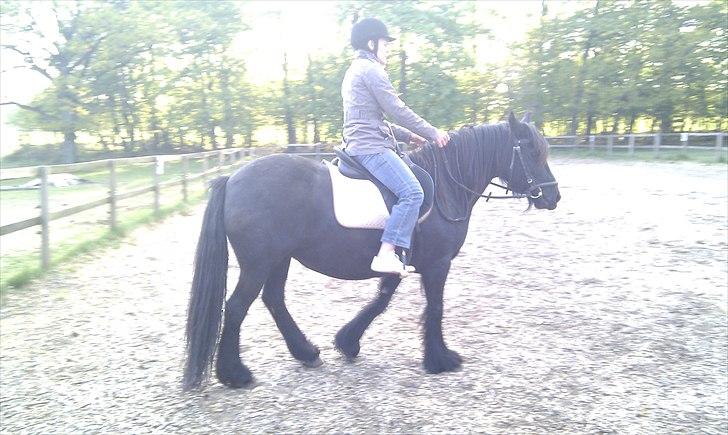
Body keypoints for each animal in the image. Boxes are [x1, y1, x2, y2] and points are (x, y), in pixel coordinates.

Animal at [182, 111, 560, 390]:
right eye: (531, 152)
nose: (553, 197)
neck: (446, 186)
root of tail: (232, 179)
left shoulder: (400, 261)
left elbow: (381, 300)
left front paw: (348, 342)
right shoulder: (437, 264)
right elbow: (435, 307)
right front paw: (440, 359)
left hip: (279, 259)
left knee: (273, 300)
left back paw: (305, 352)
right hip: (259, 262)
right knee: (236, 308)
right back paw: (234, 374)